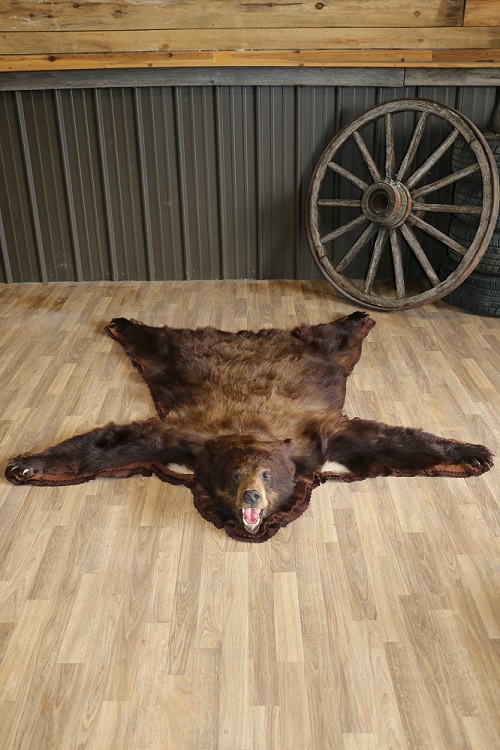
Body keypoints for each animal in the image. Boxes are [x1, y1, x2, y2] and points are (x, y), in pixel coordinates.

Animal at [5, 311, 494, 540]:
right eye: (236, 474)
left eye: (266, 474)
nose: (252, 497)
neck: (251, 432)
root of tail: (249, 337)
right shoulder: (185, 438)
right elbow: (117, 443)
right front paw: (28, 465)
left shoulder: (317, 438)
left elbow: (385, 440)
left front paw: (473, 453)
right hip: (179, 359)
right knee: (159, 340)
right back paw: (123, 322)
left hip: (320, 354)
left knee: (333, 335)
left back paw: (357, 317)